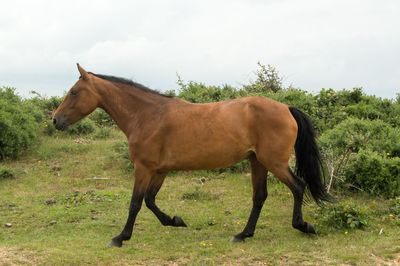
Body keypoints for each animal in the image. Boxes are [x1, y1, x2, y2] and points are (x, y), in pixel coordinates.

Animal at [53, 64, 334, 247]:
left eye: (74, 92)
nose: (55, 120)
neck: (147, 116)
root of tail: (286, 108)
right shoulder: (159, 170)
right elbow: (150, 201)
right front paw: (175, 221)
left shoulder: (143, 168)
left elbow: (136, 203)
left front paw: (120, 238)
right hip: (258, 162)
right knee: (260, 196)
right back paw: (243, 234)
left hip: (274, 162)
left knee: (298, 187)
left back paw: (303, 226)